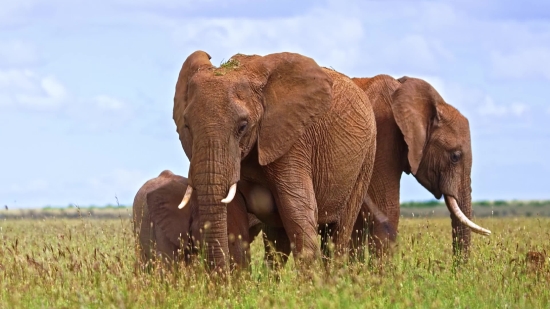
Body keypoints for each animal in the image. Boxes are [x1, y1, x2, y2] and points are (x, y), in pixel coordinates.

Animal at [175, 50, 378, 270]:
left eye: (243, 126)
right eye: (187, 126)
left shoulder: (293, 143)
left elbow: (298, 210)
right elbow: (235, 218)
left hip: (366, 157)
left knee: (339, 232)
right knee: (277, 242)